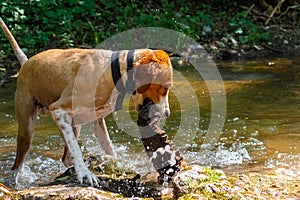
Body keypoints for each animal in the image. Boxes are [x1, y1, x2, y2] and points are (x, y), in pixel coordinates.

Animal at [0, 16, 172, 186]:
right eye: (165, 88)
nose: (167, 114)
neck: (114, 73)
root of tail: (26, 63)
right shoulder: (58, 110)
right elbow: (76, 150)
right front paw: (85, 173)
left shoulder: (96, 120)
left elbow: (110, 150)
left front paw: (107, 160)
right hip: (27, 129)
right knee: (17, 165)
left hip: (74, 126)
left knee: (66, 158)